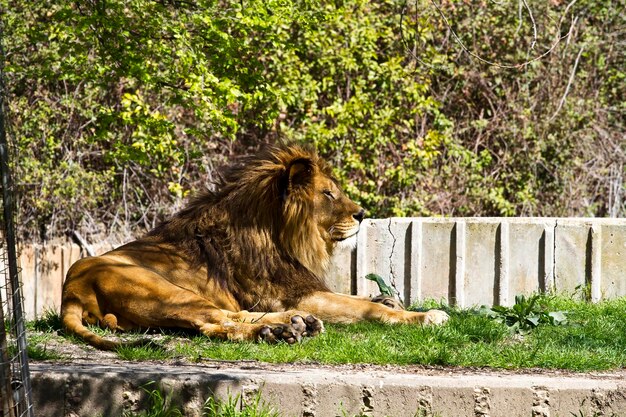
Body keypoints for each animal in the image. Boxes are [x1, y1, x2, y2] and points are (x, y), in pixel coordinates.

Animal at [59, 143, 448, 348]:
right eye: (328, 194)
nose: (363, 214)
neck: (277, 235)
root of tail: (72, 292)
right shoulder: (296, 294)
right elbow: (366, 309)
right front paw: (423, 315)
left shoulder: (300, 291)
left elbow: (357, 298)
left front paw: (386, 297)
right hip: (166, 292)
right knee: (215, 322)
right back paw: (281, 330)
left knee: (227, 316)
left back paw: (295, 326)